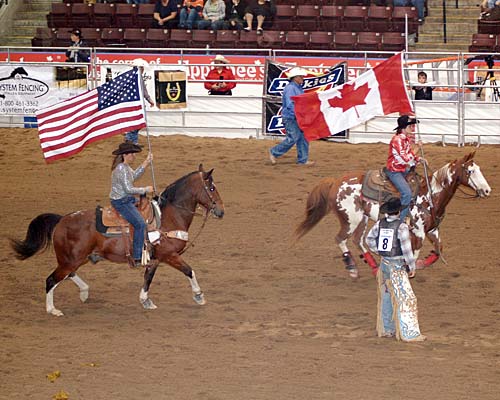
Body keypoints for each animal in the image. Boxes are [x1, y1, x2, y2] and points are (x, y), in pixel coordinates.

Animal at [10, 165, 225, 316]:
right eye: (212, 187)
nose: (221, 211)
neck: (168, 216)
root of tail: (62, 219)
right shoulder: (169, 255)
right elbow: (189, 271)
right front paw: (199, 296)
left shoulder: (155, 258)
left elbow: (148, 278)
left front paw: (145, 301)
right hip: (71, 259)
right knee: (51, 279)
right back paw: (52, 310)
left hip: (76, 258)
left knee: (68, 275)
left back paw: (84, 292)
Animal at [294, 152, 490, 280]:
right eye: (470, 171)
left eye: (479, 168)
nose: (487, 190)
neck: (429, 196)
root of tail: (335, 182)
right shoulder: (418, 231)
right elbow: (415, 251)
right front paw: (410, 269)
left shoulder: (432, 230)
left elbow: (438, 248)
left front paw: (421, 263)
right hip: (350, 219)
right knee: (341, 239)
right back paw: (352, 268)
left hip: (363, 219)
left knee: (358, 241)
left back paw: (374, 267)